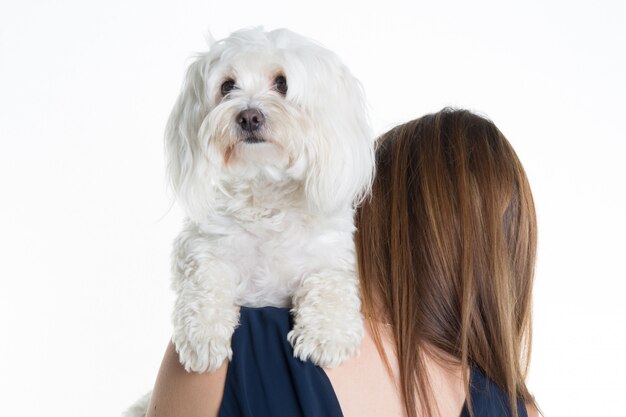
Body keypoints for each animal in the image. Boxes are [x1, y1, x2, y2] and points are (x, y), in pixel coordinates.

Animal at [124, 27, 372, 414]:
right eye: (227, 86)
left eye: (282, 83)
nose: (249, 116)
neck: (264, 191)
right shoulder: (201, 247)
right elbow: (205, 278)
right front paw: (203, 337)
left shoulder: (331, 256)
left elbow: (330, 283)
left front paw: (325, 336)